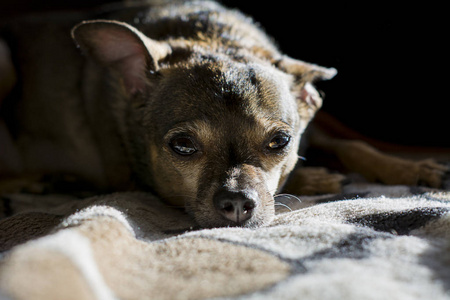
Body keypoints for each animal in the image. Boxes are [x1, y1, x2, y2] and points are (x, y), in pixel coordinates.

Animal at [0, 0, 446, 227]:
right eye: (182, 146)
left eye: (280, 141)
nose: (236, 204)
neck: (213, 38)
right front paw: (316, 177)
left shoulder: (313, 128)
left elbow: (352, 146)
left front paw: (415, 169)